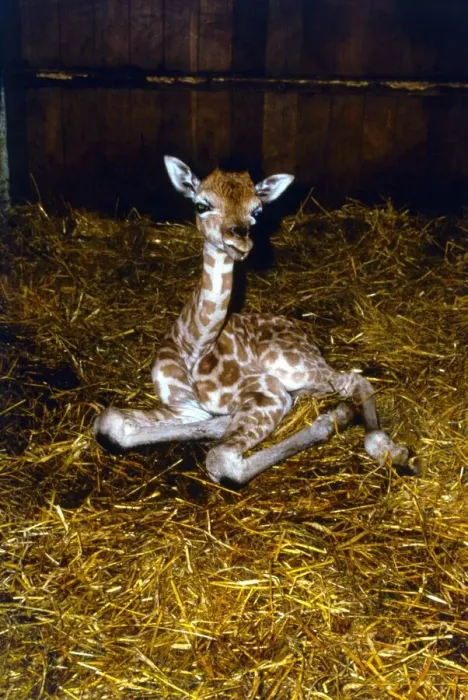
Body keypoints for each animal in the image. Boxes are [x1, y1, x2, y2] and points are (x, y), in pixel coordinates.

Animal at [94, 156, 411, 485]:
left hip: (289, 365)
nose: (239, 240)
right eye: (201, 205)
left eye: (257, 211)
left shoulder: (267, 392)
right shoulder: (183, 407)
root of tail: (304, 335)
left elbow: (222, 460)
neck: (195, 346)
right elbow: (109, 421)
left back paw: (386, 447)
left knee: (354, 380)